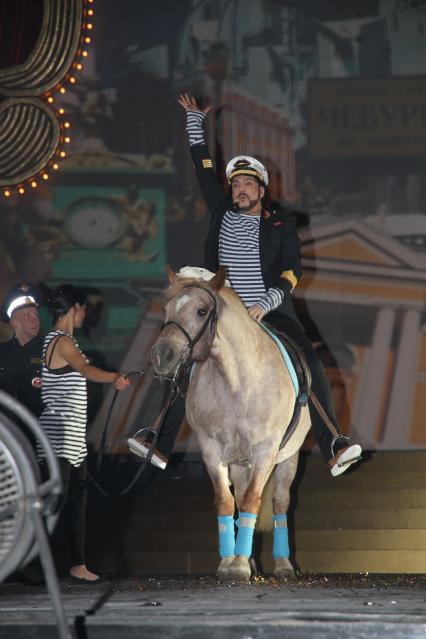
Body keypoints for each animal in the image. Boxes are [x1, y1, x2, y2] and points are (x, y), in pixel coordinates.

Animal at [151, 268, 310, 584]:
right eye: (166, 309)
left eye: (201, 311)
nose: (163, 355)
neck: (237, 382)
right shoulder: (212, 450)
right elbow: (226, 501)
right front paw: (230, 562)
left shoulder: (265, 451)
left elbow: (252, 501)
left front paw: (238, 567)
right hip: (239, 462)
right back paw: (248, 558)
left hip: (288, 458)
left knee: (279, 501)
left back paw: (283, 564)